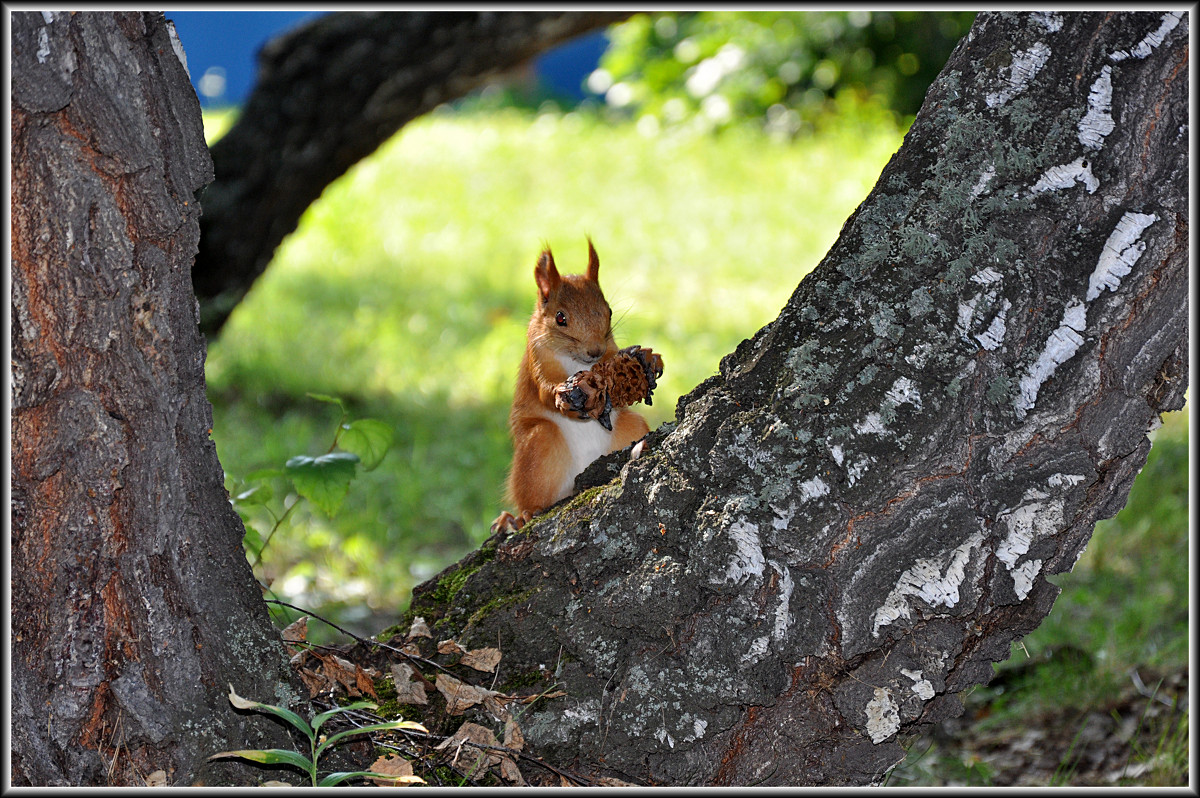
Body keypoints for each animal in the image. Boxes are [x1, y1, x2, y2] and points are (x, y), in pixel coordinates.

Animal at [489, 240, 667, 532]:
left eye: (609, 312)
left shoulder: (610, 350)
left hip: (631, 426)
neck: (576, 362)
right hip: (539, 445)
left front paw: (649, 358)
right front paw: (563, 395)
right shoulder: (537, 358)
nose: (595, 351)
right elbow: (544, 389)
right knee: (531, 495)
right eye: (560, 318)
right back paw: (519, 517)